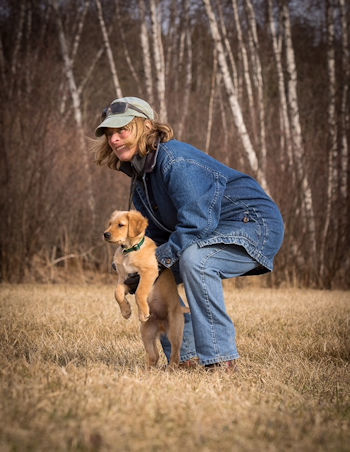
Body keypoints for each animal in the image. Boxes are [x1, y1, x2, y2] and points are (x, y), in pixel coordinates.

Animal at [104, 210, 190, 370]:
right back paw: (147, 370)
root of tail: (162, 326)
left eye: (121, 225)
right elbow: (117, 293)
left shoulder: (148, 273)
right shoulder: (125, 279)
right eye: (110, 224)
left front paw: (143, 312)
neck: (129, 251)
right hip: (146, 333)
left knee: (175, 354)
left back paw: (171, 369)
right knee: (154, 355)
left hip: (175, 331)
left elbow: (140, 293)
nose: (105, 234)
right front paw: (126, 311)